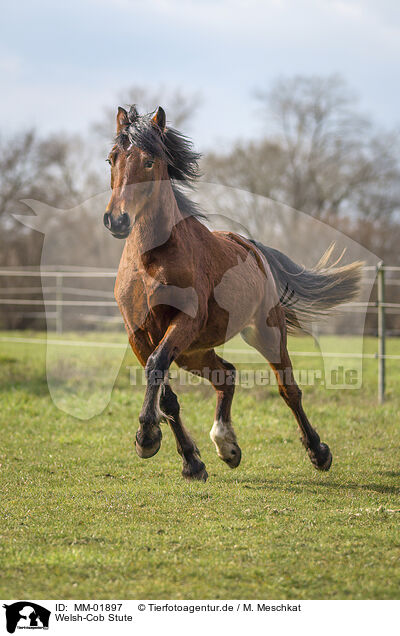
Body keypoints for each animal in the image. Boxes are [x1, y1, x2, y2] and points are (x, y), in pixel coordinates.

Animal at [104, 104, 362, 482]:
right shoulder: (139, 335)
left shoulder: (183, 323)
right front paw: (190, 461)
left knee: (288, 389)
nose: (117, 220)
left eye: (149, 161)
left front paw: (147, 437)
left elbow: (156, 368)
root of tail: (251, 247)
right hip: (194, 351)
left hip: (264, 333)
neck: (151, 261)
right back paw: (226, 446)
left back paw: (318, 452)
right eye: (112, 159)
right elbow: (165, 392)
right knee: (226, 376)